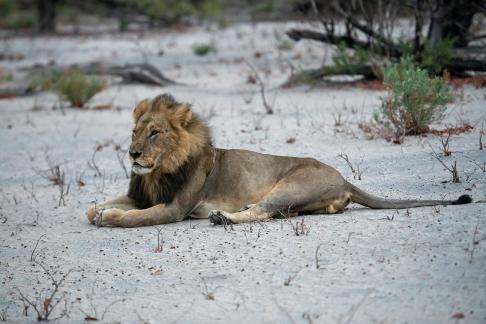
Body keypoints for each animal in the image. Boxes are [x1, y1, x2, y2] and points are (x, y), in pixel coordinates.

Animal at [86, 93, 470, 228]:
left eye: (154, 133)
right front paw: (98, 209)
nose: (133, 153)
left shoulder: (173, 207)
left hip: (290, 185)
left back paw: (223, 217)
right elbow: (101, 204)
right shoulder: (139, 193)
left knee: (262, 211)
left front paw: (111, 216)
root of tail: (344, 179)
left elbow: (135, 217)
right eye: (135, 131)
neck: (156, 172)